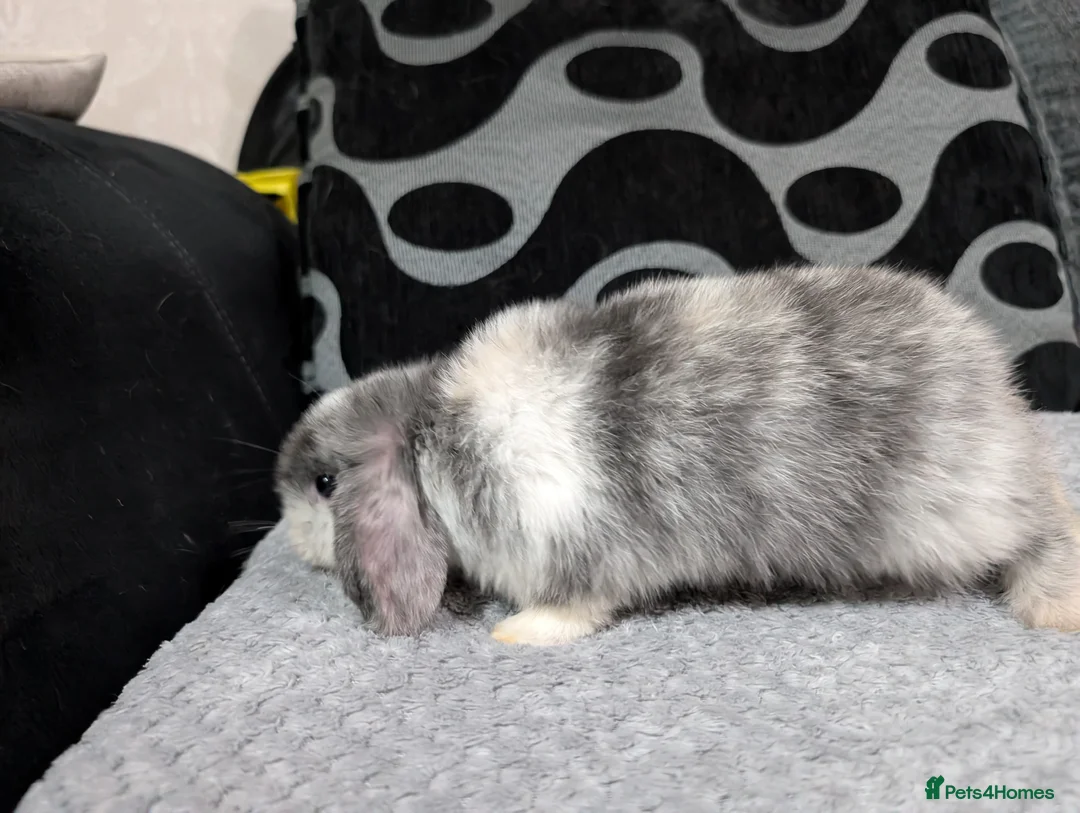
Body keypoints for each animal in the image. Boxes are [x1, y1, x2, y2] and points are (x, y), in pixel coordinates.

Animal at [274, 264, 1080, 646]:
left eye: (324, 483)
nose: (284, 533)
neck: (431, 432)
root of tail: (995, 389)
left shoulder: (573, 557)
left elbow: (572, 608)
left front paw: (515, 633)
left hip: (963, 512)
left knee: (1044, 524)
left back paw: (1053, 606)